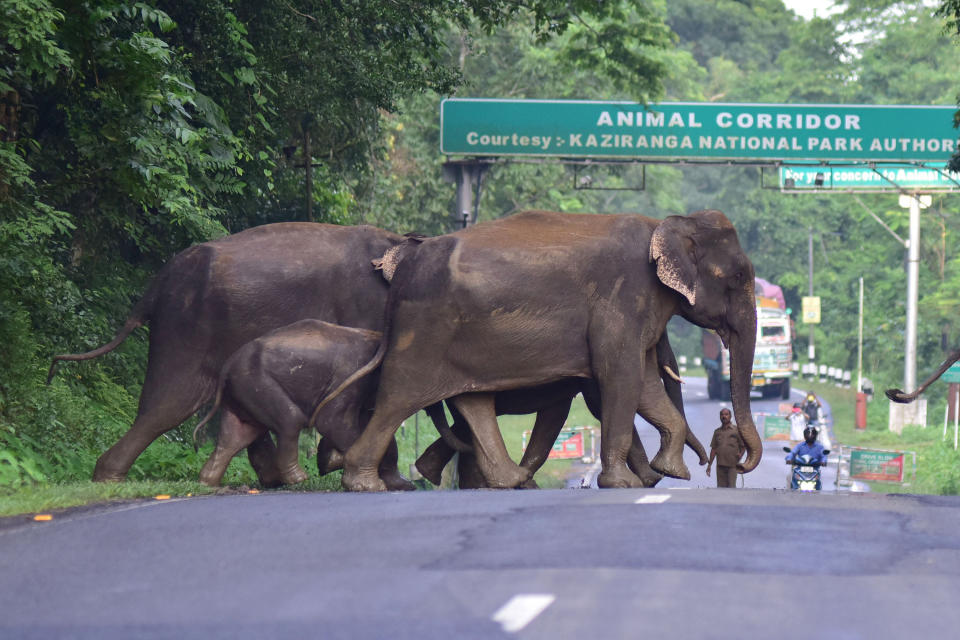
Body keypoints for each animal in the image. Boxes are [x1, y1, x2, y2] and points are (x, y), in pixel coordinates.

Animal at [194, 320, 394, 490]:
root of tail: (224, 370)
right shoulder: (349, 374)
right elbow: (330, 421)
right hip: (254, 383)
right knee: (290, 420)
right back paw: (299, 479)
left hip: (242, 393)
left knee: (236, 436)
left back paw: (208, 483)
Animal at [318, 209, 760, 490]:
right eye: (738, 276)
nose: (723, 463)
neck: (664, 224)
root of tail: (403, 272)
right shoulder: (621, 300)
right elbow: (622, 378)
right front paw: (627, 483)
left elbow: (645, 383)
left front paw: (670, 474)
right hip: (423, 331)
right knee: (398, 397)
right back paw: (366, 484)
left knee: (471, 401)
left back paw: (503, 481)